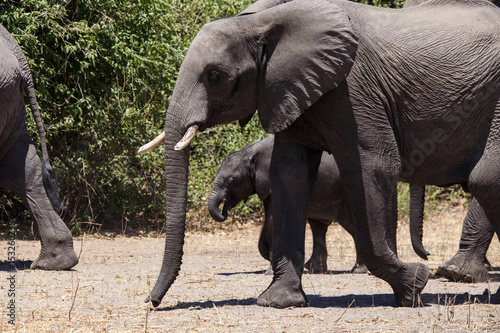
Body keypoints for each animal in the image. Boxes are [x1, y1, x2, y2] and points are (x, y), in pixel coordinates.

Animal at [209, 134, 432, 274]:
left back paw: (358, 270)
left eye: (231, 180)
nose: (224, 209)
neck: (250, 152)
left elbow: (274, 219)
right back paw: (317, 269)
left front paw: (270, 270)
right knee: (320, 225)